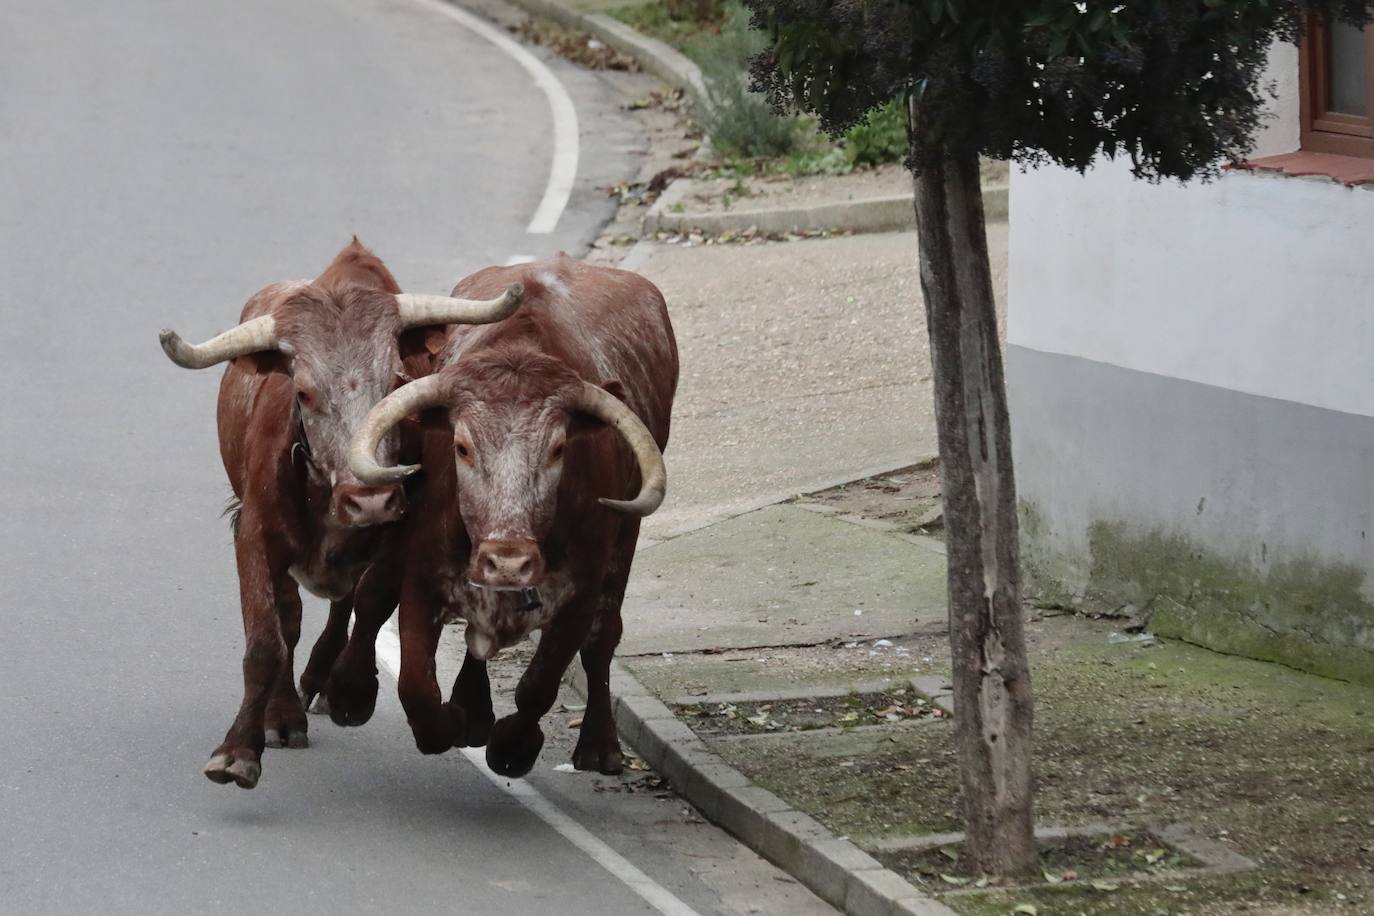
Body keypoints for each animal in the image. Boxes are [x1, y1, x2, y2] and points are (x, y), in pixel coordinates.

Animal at [159, 238, 519, 791]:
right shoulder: (254, 534)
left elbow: (369, 603)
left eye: (395, 384)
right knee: (291, 617)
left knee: (341, 606)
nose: (368, 500)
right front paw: (239, 748)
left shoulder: (404, 536)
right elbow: (267, 637)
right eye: (304, 393)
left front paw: (350, 690)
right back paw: (284, 713)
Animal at [351, 254, 678, 780]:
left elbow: (539, 686)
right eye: (462, 446)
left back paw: (599, 744)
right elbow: (417, 686)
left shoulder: (579, 597)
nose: (507, 562)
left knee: (602, 640)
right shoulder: (422, 581)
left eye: (559, 448)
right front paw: (450, 723)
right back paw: (471, 710)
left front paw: (512, 748)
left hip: (624, 543)